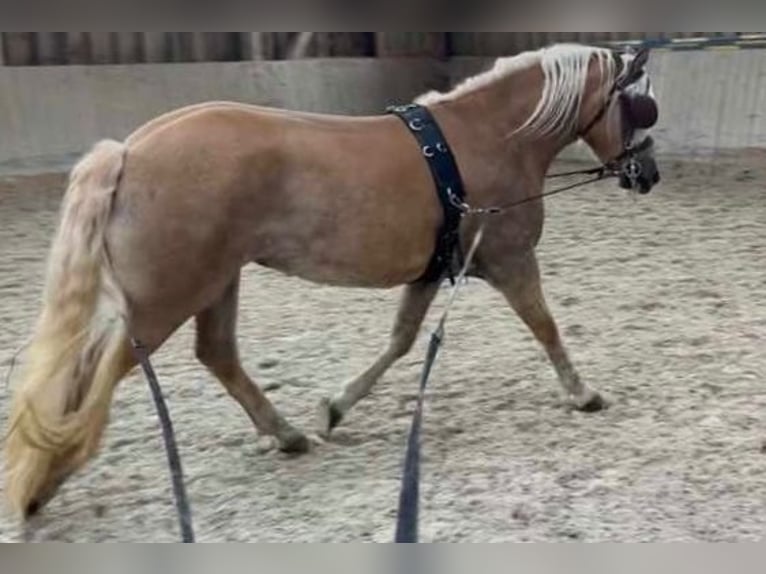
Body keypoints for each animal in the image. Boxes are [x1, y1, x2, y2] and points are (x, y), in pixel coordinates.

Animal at [3, 42, 664, 520]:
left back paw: (289, 435)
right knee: (96, 375)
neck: (487, 140)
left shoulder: (435, 270)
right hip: (164, 297)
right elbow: (545, 326)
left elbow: (400, 341)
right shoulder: (510, 260)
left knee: (216, 355)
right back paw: (42, 479)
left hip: (216, 281)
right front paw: (583, 393)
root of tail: (130, 151)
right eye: (641, 105)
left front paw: (334, 409)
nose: (649, 173)